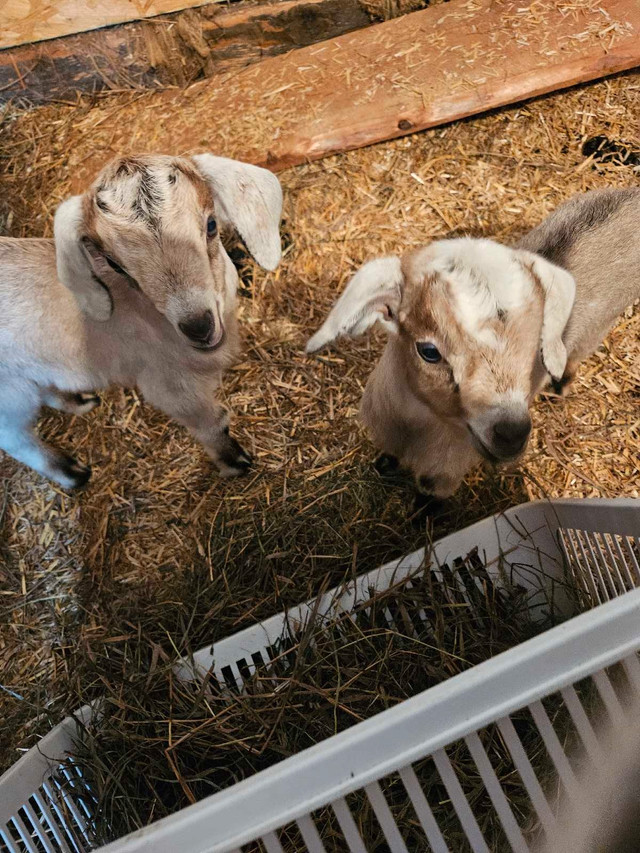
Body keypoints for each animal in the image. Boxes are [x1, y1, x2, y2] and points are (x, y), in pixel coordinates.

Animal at [0, 153, 282, 486]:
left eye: (211, 225)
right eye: (114, 265)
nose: (199, 328)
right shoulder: (169, 386)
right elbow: (211, 424)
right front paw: (234, 461)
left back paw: (77, 401)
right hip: (8, 400)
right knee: (17, 440)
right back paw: (70, 473)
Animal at [308, 188, 636, 500]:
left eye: (535, 347)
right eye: (429, 351)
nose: (512, 434)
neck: (419, 427)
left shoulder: (443, 474)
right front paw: (384, 466)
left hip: (598, 326)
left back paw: (561, 385)